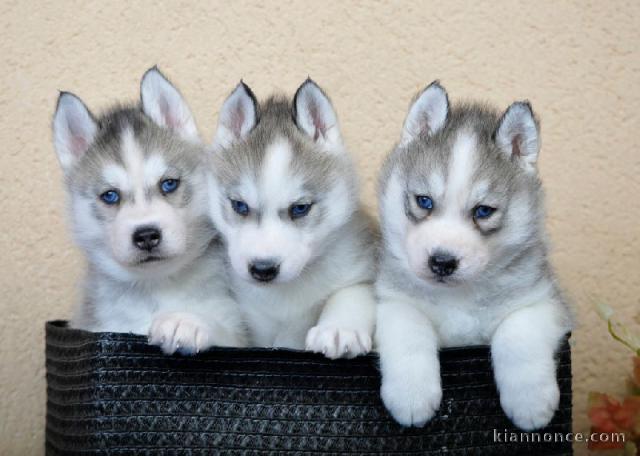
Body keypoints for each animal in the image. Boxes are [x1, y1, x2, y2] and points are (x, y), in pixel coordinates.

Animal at [52, 67, 246, 352]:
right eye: (110, 195)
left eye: (169, 184)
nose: (146, 236)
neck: (156, 286)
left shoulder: (236, 326)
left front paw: (186, 322)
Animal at [206, 80, 376, 360]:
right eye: (240, 206)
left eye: (300, 208)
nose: (263, 269)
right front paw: (187, 324)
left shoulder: (362, 270)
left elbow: (350, 293)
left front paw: (338, 329)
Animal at [372, 83, 572, 432]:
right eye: (424, 201)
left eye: (483, 211)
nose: (442, 262)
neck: (459, 297)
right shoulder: (393, 300)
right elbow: (409, 330)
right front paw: (411, 395)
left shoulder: (543, 301)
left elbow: (517, 335)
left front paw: (530, 402)